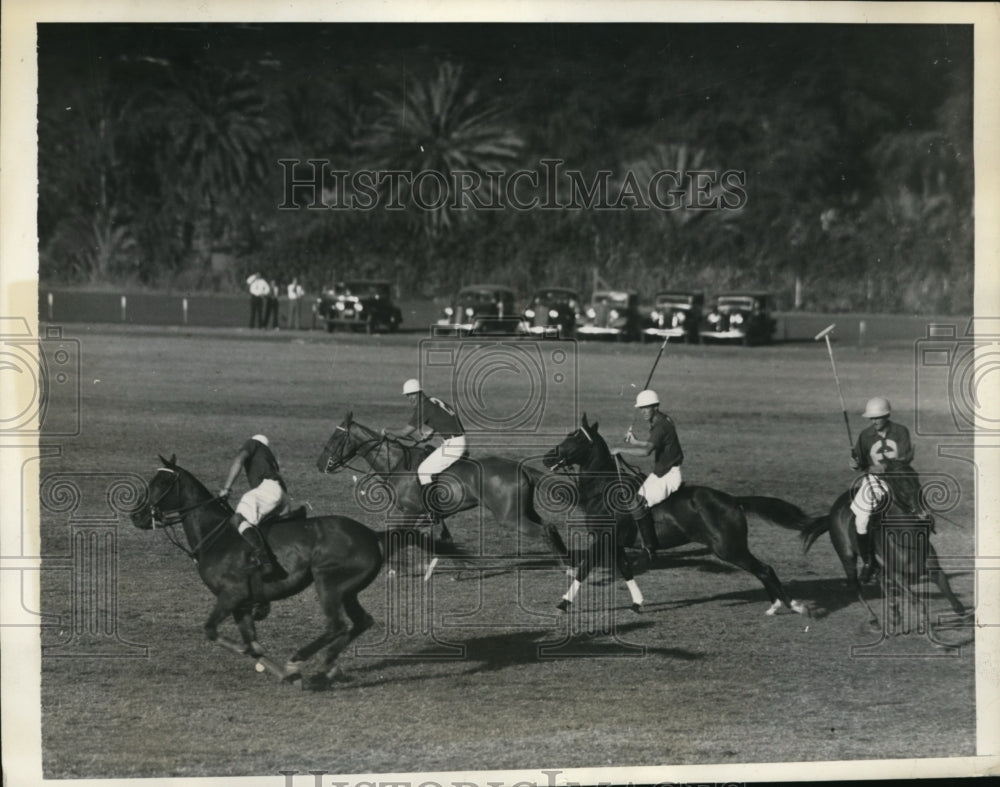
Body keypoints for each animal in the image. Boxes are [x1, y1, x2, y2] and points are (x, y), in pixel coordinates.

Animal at [133, 456, 382, 688]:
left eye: (162, 482)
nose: (136, 517)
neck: (214, 536)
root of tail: (372, 534)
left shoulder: (232, 594)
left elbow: (213, 631)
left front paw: (270, 663)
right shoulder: (241, 604)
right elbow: (252, 644)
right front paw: (285, 674)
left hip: (328, 583)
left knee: (336, 625)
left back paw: (300, 660)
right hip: (348, 591)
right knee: (362, 621)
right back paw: (329, 666)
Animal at [320, 412, 572, 572]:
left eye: (336, 437)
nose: (320, 464)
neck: (397, 464)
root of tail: (521, 468)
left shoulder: (410, 512)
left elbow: (400, 535)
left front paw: (397, 568)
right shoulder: (426, 514)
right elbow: (443, 537)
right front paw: (457, 566)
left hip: (509, 517)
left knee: (544, 530)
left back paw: (566, 568)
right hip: (525, 510)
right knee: (550, 526)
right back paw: (568, 562)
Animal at [544, 416, 808, 620]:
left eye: (576, 438)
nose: (547, 458)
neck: (603, 490)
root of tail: (733, 500)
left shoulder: (603, 539)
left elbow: (584, 569)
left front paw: (562, 604)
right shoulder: (614, 542)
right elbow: (625, 570)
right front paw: (637, 604)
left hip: (729, 548)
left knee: (765, 569)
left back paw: (793, 605)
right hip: (731, 548)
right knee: (762, 570)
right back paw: (777, 606)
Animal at [796, 464, 968, 632]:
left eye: (916, 477)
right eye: (898, 482)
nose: (924, 515)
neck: (907, 536)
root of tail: (833, 511)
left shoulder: (933, 569)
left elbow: (950, 594)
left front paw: (960, 612)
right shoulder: (897, 575)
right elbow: (917, 601)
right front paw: (926, 626)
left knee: (879, 579)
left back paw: (894, 613)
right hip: (847, 557)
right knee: (856, 586)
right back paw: (874, 620)